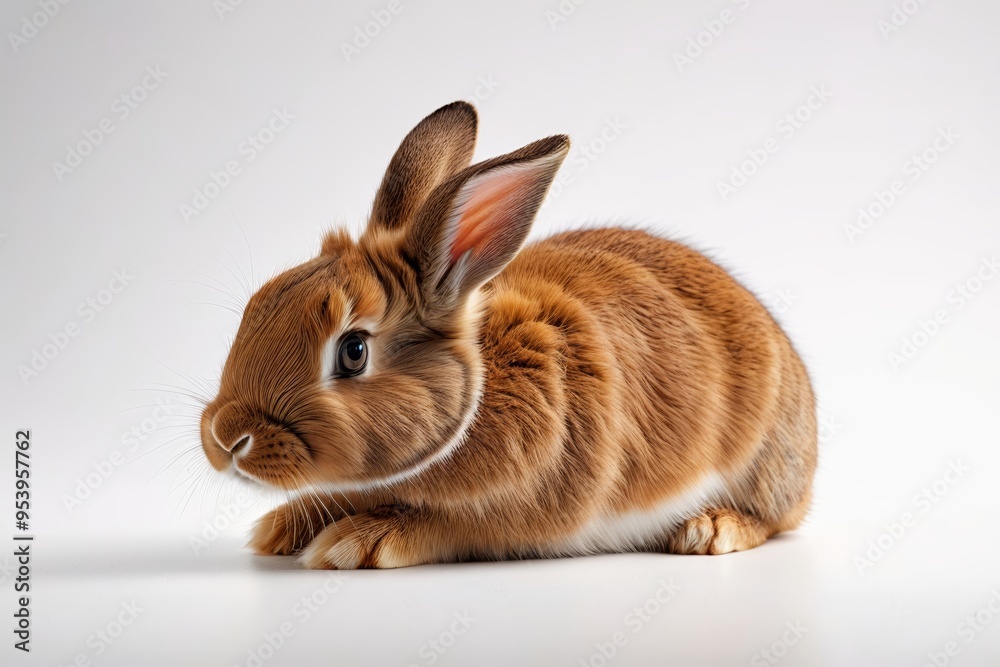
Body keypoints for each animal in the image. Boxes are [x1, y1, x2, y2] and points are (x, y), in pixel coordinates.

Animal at [199, 101, 817, 569]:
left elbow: (450, 527)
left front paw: (358, 540)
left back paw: (710, 529)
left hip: (764, 463)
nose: (225, 439)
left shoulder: (530, 512)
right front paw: (280, 529)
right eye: (258, 304)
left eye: (353, 352)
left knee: (772, 519)